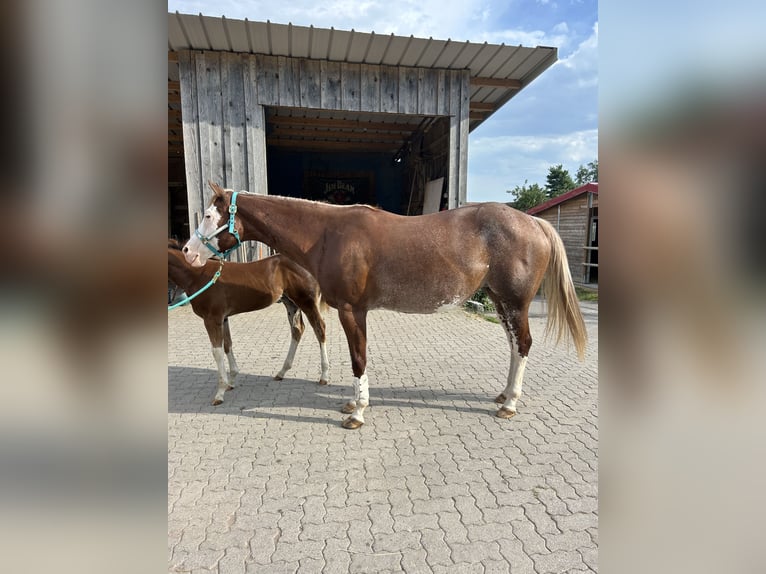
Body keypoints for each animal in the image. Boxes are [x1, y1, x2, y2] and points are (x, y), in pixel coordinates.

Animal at [168, 239, 329, 406]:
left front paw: (220, 393)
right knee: (297, 330)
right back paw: (282, 372)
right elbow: (227, 345)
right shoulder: (223, 318)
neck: (198, 277)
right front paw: (231, 382)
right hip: (291, 303)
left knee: (320, 329)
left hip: (307, 302)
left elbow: (217, 352)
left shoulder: (212, 319)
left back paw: (323, 376)